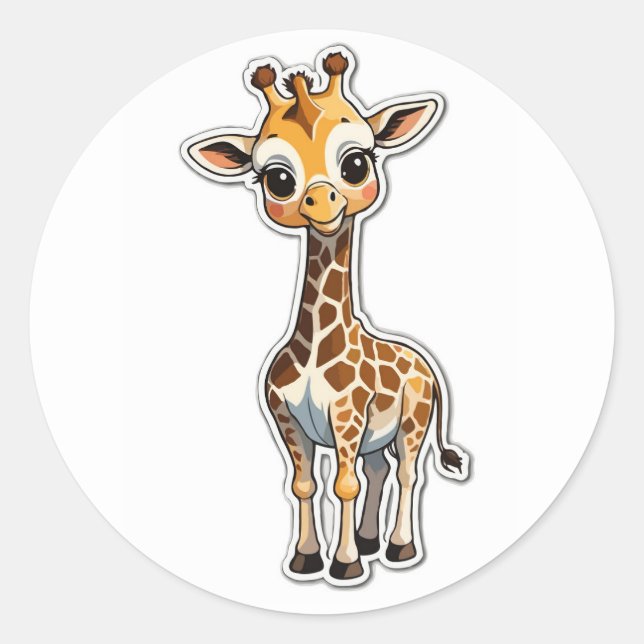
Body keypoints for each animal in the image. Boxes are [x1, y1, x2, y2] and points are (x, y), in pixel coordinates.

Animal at [181, 45, 470, 586]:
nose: (320, 201)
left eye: (356, 163)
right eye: (277, 178)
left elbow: (343, 485)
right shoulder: (286, 418)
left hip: (413, 423)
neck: (316, 347)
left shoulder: (347, 418)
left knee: (406, 472)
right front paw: (307, 558)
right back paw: (371, 541)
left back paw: (399, 548)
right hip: (381, 434)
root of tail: (426, 365)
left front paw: (346, 565)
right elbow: (304, 484)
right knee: (379, 470)